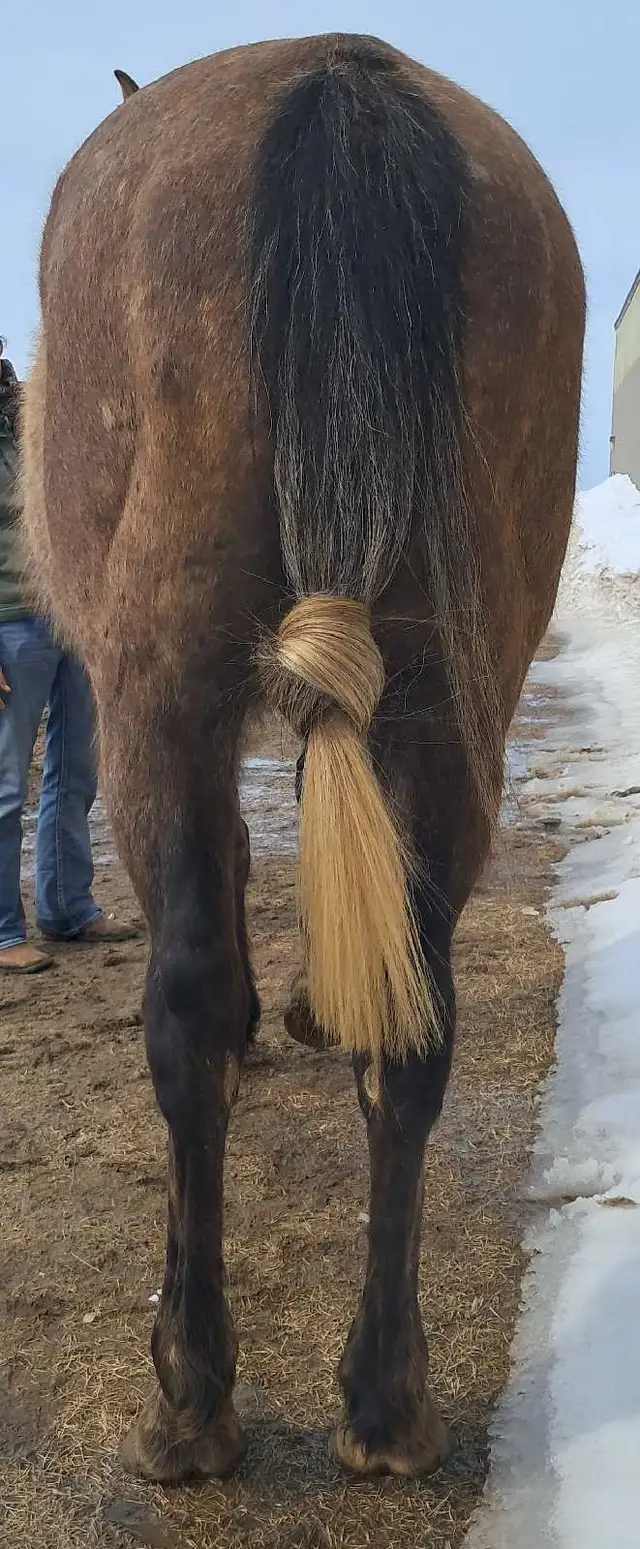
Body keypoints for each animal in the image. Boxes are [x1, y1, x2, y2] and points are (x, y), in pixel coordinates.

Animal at [20, 33, 585, 1484]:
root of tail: (345, 78)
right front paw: (333, 1003)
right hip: (454, 692)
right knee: (421, 1022)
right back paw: (386, 1399)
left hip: (158, 692)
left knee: (184, 1002)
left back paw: (191, 1398)